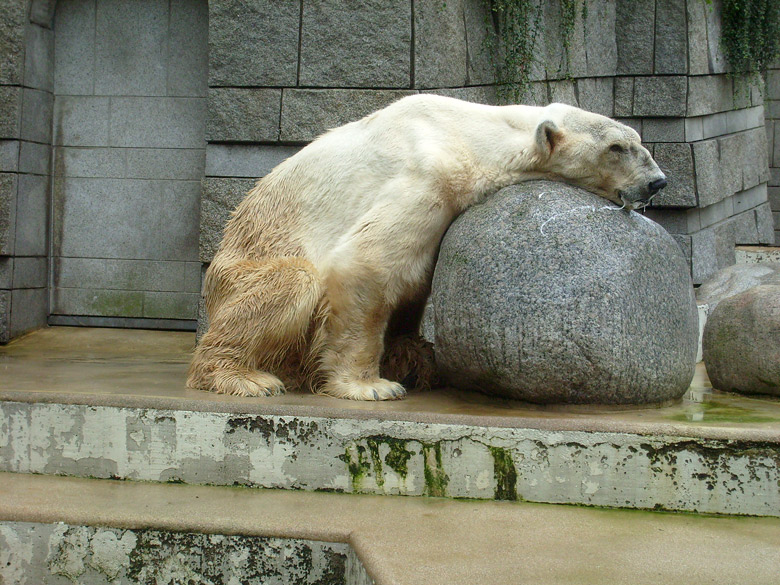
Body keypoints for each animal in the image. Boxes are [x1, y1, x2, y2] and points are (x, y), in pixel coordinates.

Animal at [186, 93, 668, 400]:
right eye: (617, 147)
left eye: (640, 141)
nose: (657, 181)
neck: (467, 132)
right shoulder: (426, 175)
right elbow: (367, 265)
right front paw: (371, 385)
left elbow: (415, 282)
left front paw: (413, 358)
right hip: (241, 267)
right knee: (292, 282)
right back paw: (244, 377)